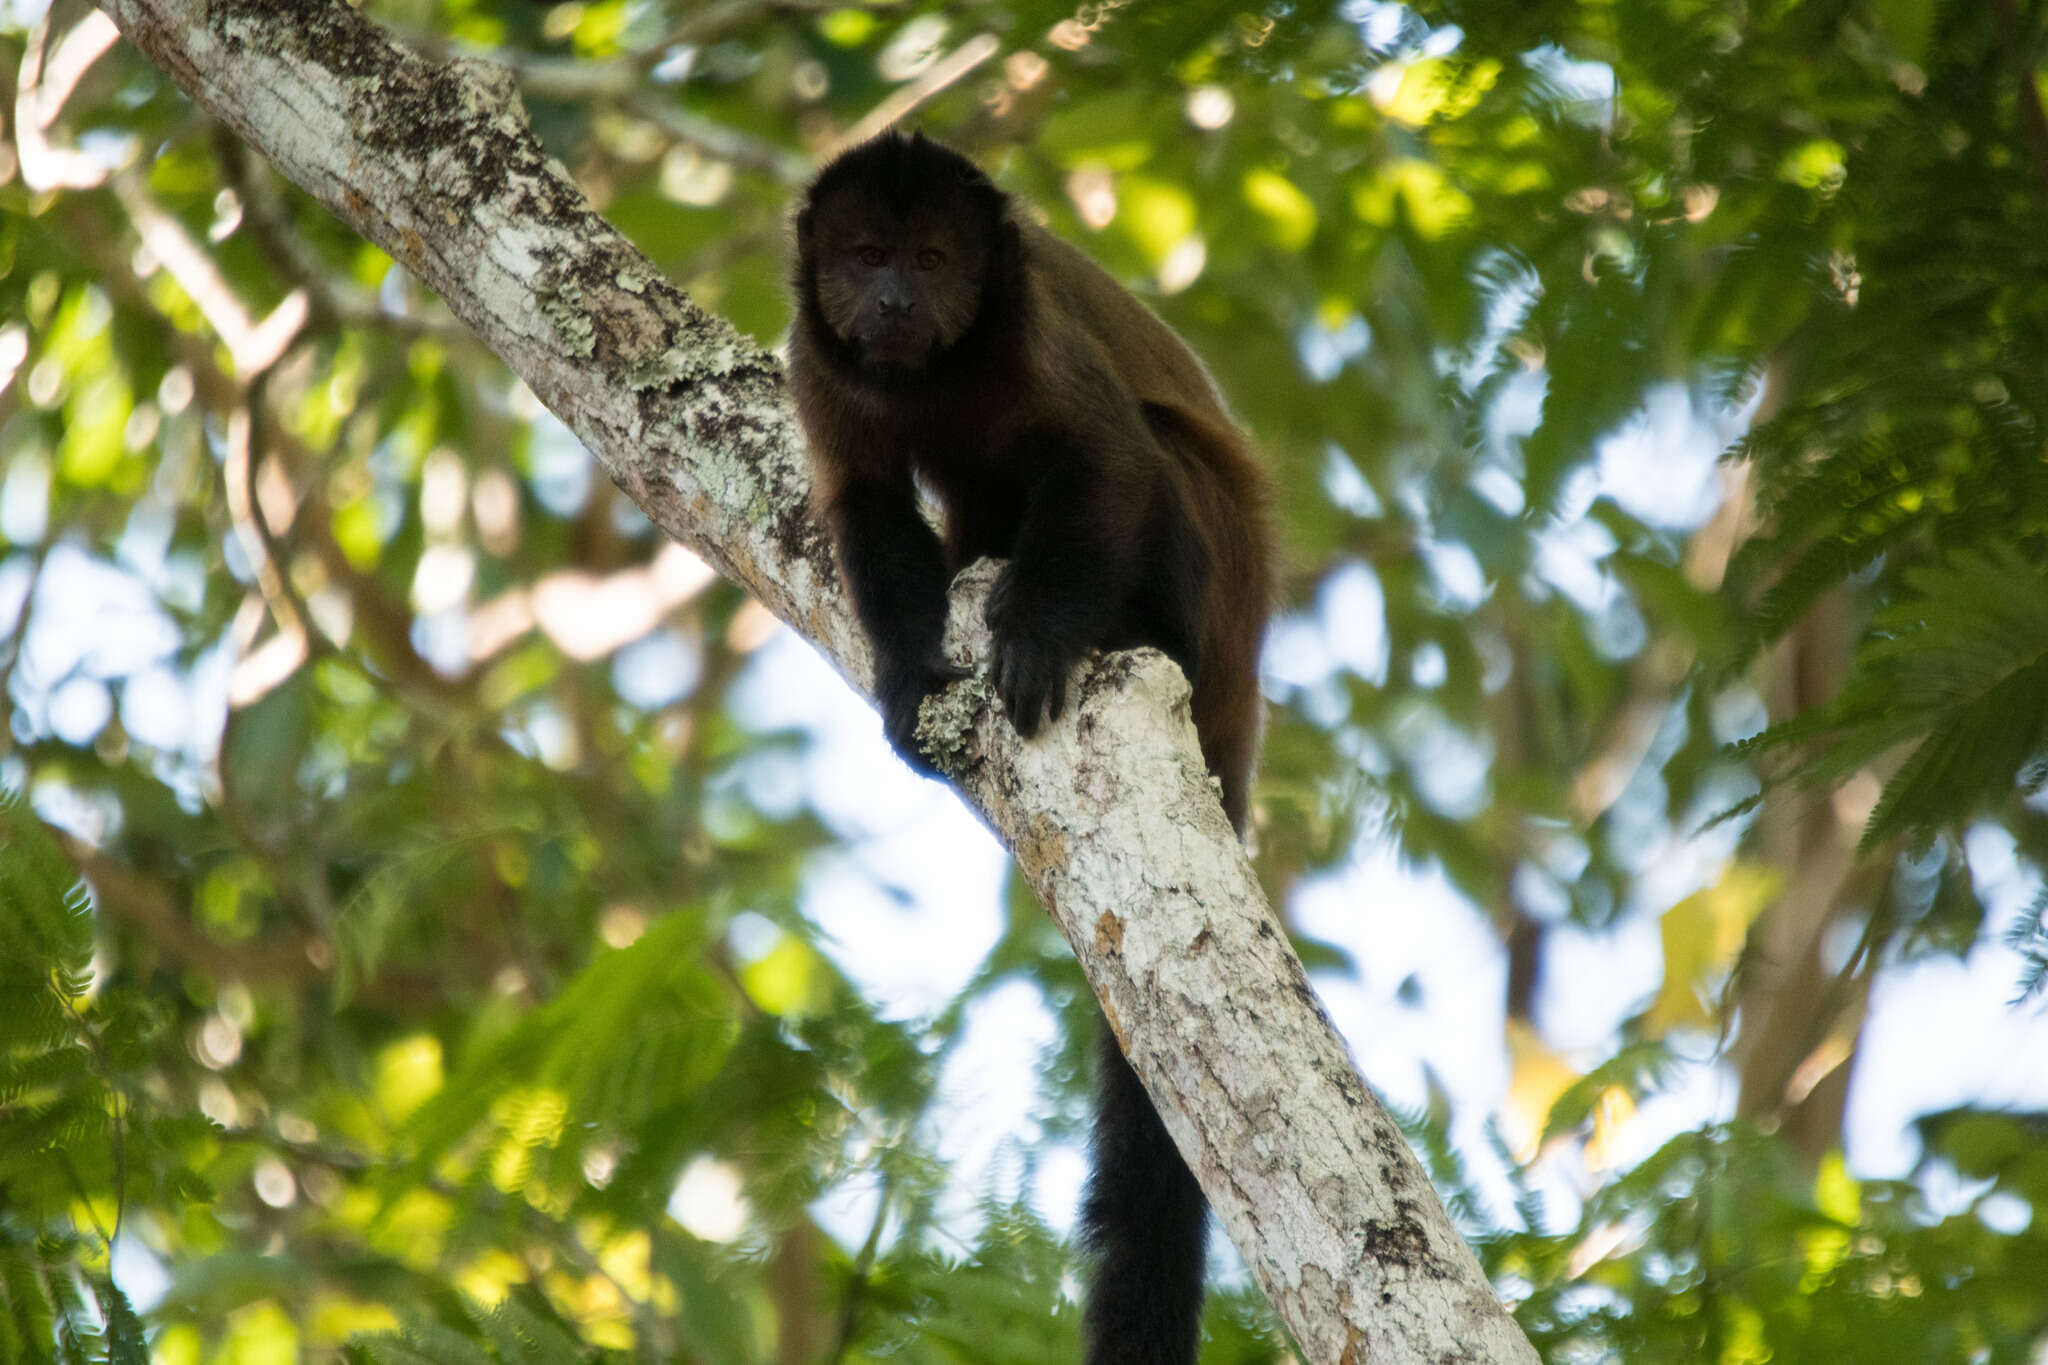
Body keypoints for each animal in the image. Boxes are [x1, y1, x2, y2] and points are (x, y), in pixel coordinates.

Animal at [790, 130, 1269, 1365]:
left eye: (930, 258)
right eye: (865, 257)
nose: (894, 301)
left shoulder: (1034, 333)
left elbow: (1110, 463)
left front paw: (1041, 637)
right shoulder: (818, 364)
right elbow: (864, 503)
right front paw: (910, 681)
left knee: (1154, 465)